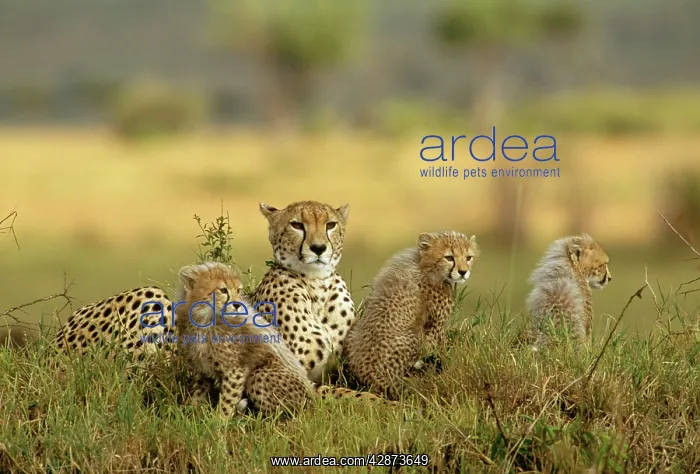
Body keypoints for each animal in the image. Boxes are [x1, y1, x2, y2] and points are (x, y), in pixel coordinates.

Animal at [343, 231, 480, 400]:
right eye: (449, 257)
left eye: (468, 257)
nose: (463, 272)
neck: (426, 267)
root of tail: (367, 372)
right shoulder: (435, 326)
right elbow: (439, 349)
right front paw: (444, 370)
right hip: (412, 336)